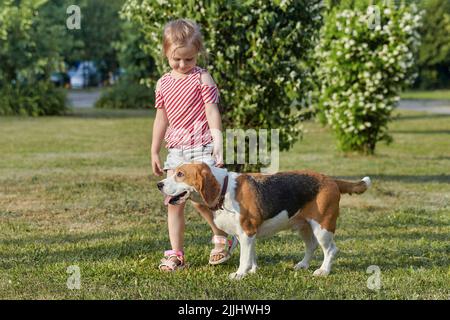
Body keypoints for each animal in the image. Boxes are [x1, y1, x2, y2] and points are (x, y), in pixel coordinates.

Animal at [156, 161, 370, 278]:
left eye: (180, 174)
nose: (159, 184)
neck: (225, 189)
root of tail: (331, 180)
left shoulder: (247, 232)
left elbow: (244, 257)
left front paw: (239, 274)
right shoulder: (247, 235)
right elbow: (251, 255)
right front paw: (252, 271)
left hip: (322, 227)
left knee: (331, 249)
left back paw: (323, 270)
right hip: (304, 226)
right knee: (311, 246)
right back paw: (303, 265)